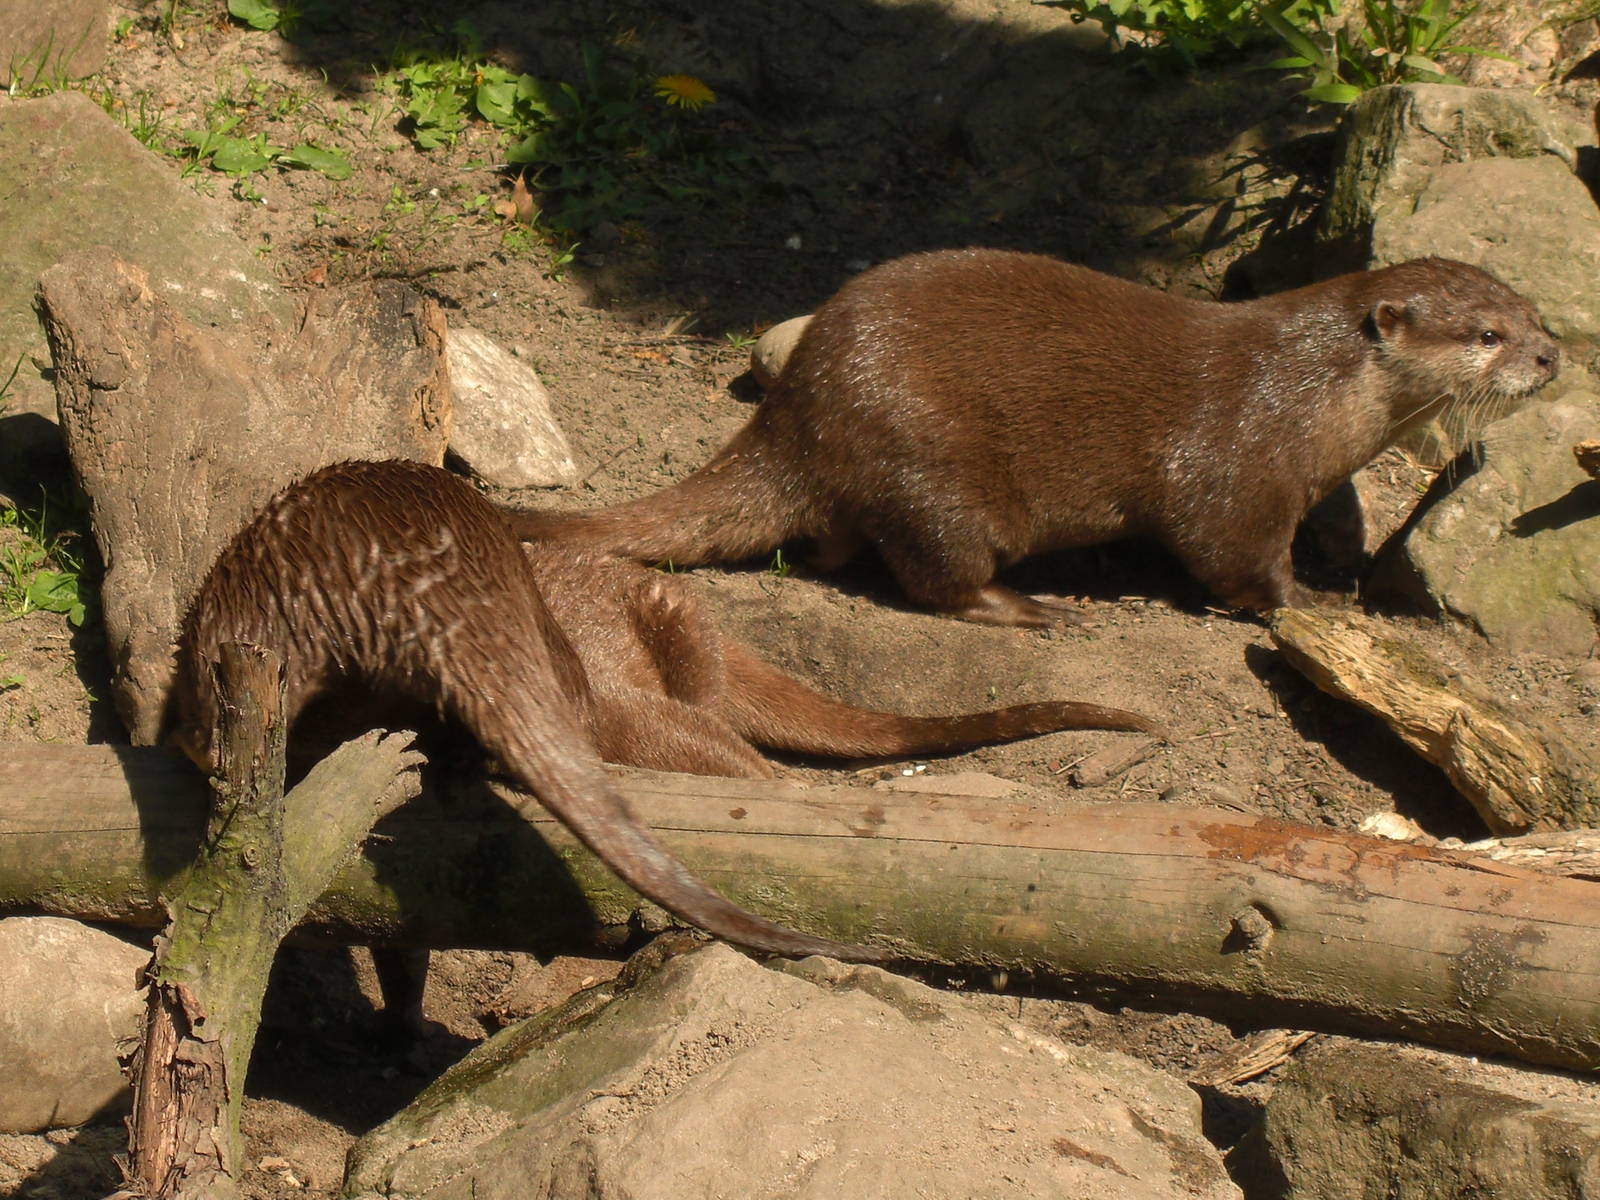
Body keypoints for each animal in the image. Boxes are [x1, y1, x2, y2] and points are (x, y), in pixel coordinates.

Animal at [502, 250, 1559, 626]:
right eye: (1485, 335)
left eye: (1532, 311)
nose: (1552, 356)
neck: (1310, 393)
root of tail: (793, 416)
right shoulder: (1238, 466)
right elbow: (1232, 555)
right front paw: (1319, 604)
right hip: (931, 469)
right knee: (934, 576)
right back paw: (1034, 608)